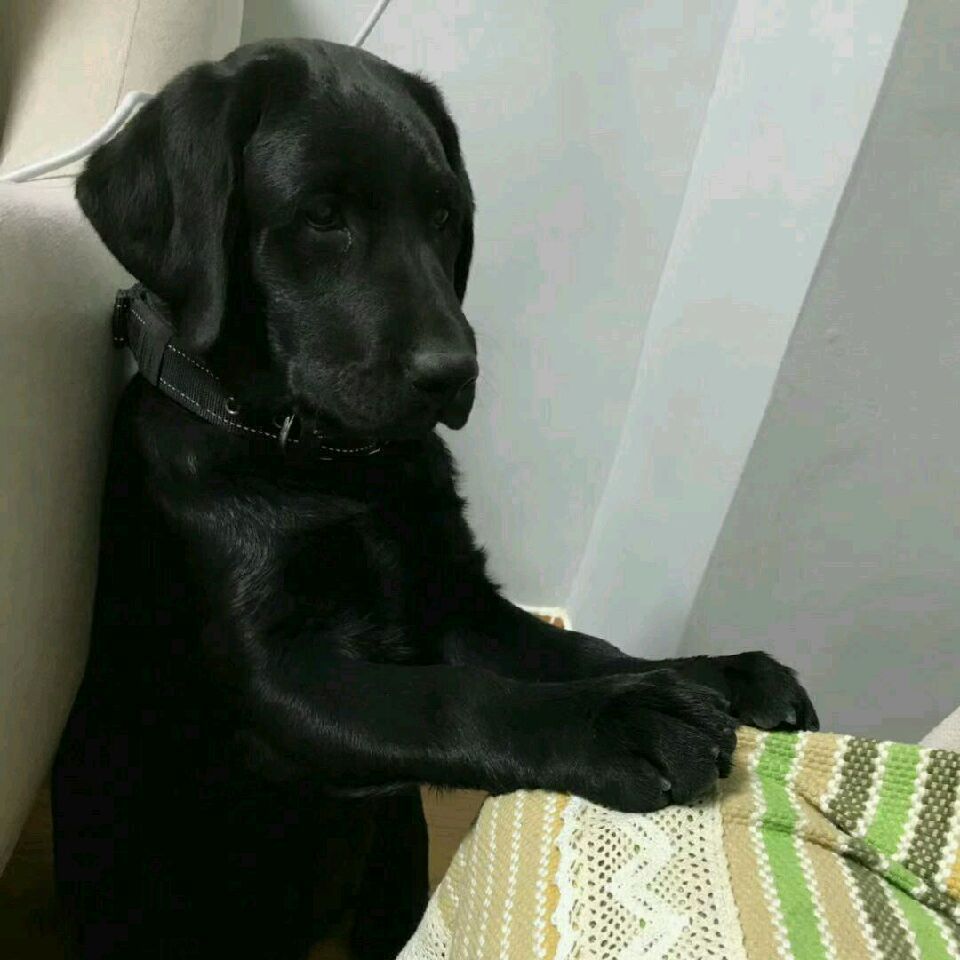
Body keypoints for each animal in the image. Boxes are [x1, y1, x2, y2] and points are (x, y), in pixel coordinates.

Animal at [52, 39, 817, 960]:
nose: (457, 373)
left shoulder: (456, 600)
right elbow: (451, 696)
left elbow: (580, 649)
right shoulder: (279, 676)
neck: (330, 465)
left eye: (446, 215)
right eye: (322, 215)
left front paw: (715, 674)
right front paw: (624, 724)